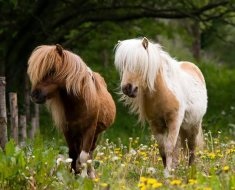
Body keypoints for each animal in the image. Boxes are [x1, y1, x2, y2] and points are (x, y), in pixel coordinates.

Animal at [27, 44, 115, 178]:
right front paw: (74, 174)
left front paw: (83, 177)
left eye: (52, 70)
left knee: (90, 153)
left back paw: (91, 174)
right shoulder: (68, 130)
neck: (80, 103)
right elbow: (73, 154)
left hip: (95, 134)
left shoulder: (89, 130)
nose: (34, 96)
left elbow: (84, 156)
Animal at [114, 37, 207, 177]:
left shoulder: (174, 121)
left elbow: (169, 148)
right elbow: (163, 150)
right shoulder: (155, 124)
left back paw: (190, 173)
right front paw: (167, 172)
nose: (127, 88)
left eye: (140, 63)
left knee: (191, 149)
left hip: (193, 126)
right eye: (123, 64)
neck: (162, 93)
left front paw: (167, 175)